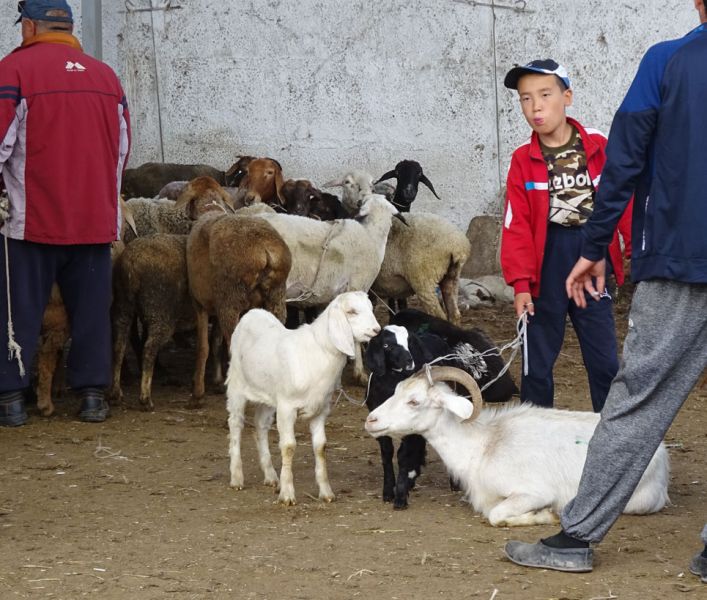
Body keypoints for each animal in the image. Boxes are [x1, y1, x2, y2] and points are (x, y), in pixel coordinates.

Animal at [187, 211, 292, 404]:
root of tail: (264, 249)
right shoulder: (217, 307)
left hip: (231, 301)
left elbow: (203, 347)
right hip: (275, 297)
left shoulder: (200, 304)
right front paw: (217, 382)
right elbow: (215, 342)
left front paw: (197, 393)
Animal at [227, 290, 382, 506]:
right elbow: (289, 447)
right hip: (237, 386)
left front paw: (326, 492)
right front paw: (287, 494)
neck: (318, 354)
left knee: (260, 425)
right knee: (235, 424)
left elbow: (320, 447)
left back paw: (270, 476)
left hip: (269, 396)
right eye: (351, 311)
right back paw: (236, 478)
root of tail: (252, 313)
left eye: (370, 307)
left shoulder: (320, 410)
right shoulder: (287, 407)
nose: (376, 330)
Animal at [368, 366, 672, 524]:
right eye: (396, 391)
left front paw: (544, 515)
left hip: (639, 500)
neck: (484, 445)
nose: (371, 420)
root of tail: (662, 455)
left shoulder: (533, 491)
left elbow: (495, 514)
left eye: (414, 401)